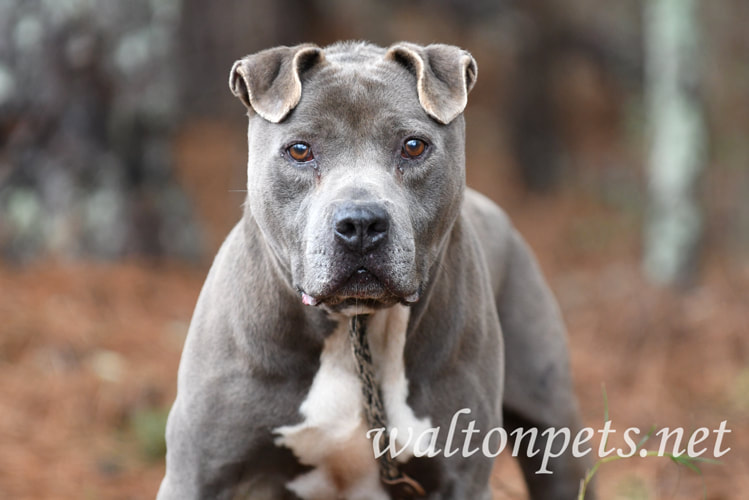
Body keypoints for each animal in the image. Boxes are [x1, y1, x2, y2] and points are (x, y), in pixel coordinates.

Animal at [158, 41, 592, 498]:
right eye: (299, 150)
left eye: (414, 146)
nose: (361, 224)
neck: (356, 327)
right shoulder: (196, 474)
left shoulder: (464, 479)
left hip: (552, 427)